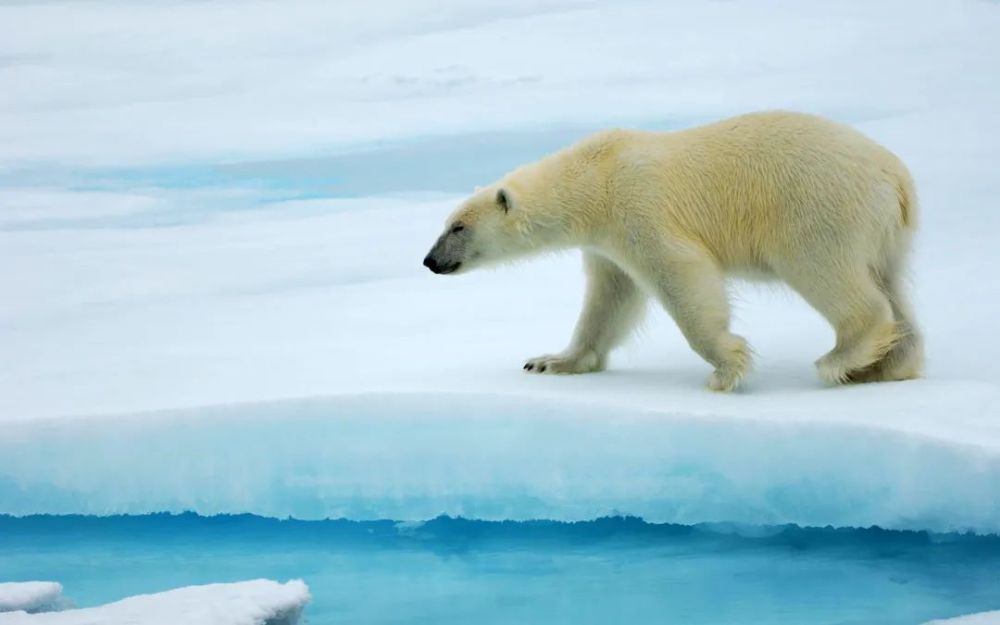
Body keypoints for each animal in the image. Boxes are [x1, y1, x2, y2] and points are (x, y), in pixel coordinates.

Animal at [420, 109, 920, 388]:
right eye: (445, 224)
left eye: (458, 227)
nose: (429, 261)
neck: (594, 177)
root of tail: (895, 176)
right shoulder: (605, 242)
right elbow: (608, 299)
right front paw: (550, 361)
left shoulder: (638, 208)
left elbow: (680, 274)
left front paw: (726, 367)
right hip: (884, 232)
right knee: (891, 284)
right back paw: (886, 365)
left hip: (817, 208)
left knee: (828, 274)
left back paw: (843, 358)